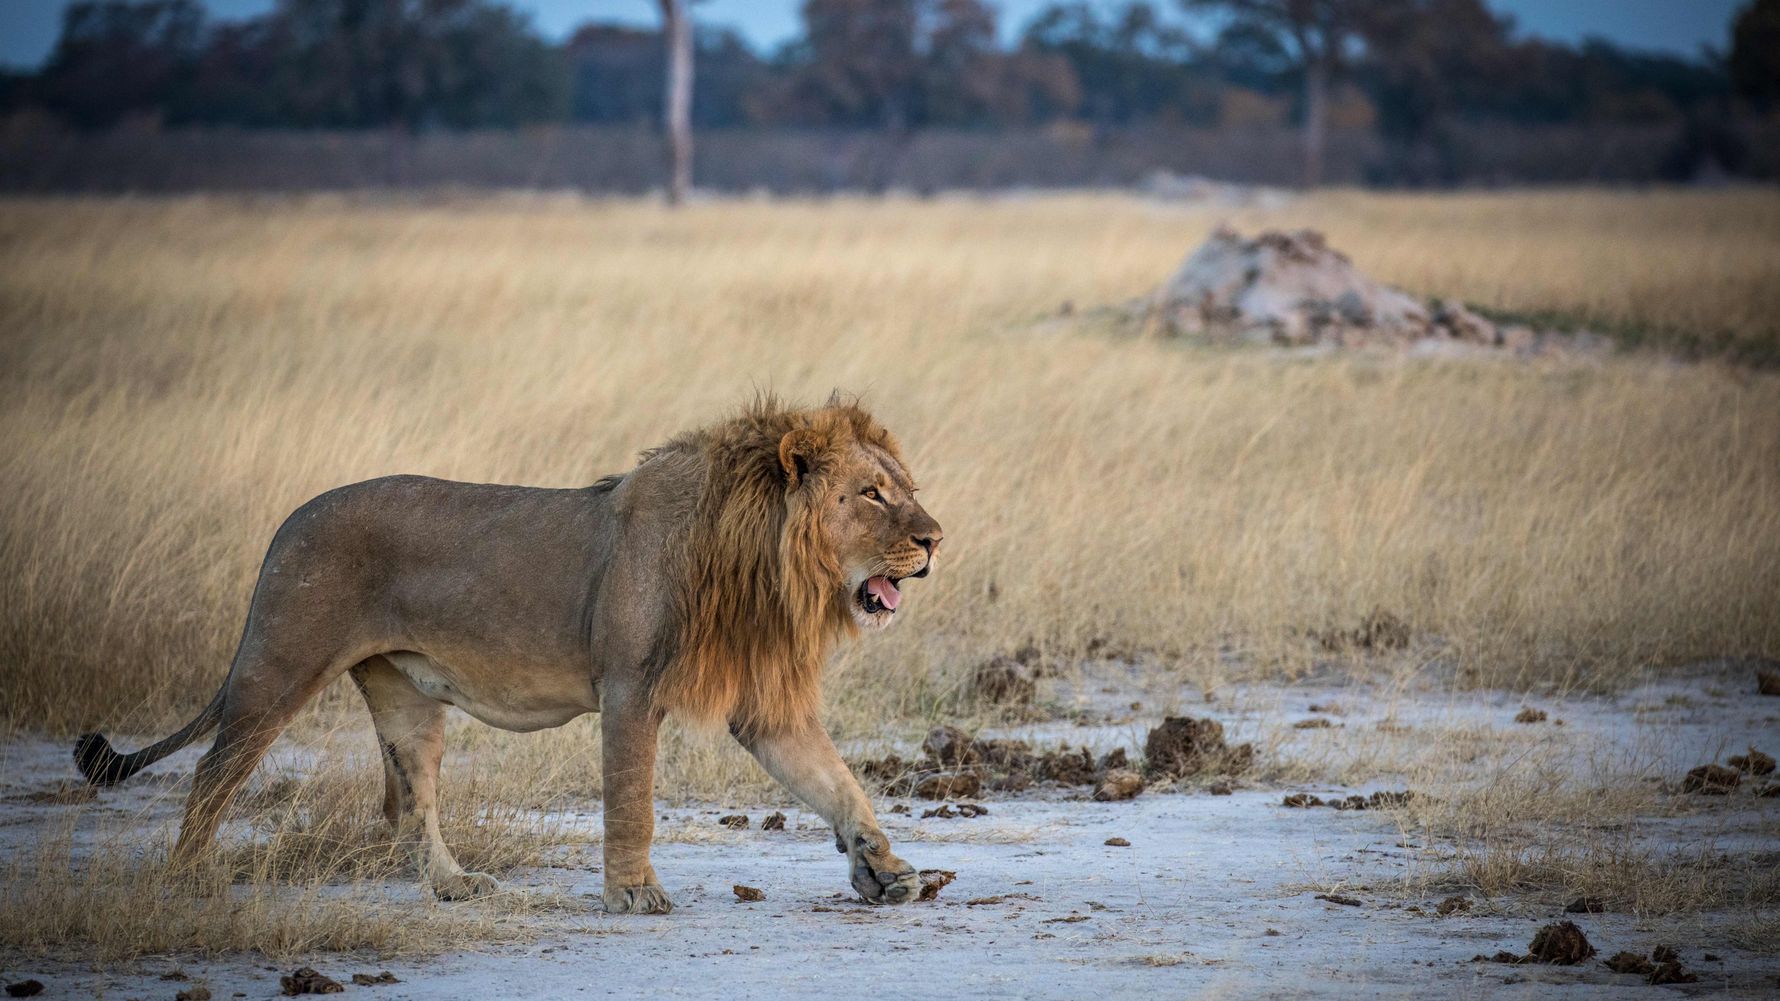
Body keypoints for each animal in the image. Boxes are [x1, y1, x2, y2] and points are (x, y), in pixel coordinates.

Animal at [73, 397, 943, 913]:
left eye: (905, 486)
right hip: (278, 665)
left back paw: (454, 884)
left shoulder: (765, 708)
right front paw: (634, 893)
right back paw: (189, 879)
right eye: (872, 494)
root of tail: (286, 525)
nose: (936, 539)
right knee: (213, 773)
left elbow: (837, 782)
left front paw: (887, 867)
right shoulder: (630, 686)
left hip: (404, 697)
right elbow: (633, 799)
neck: (764, 560)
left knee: (409, 805)